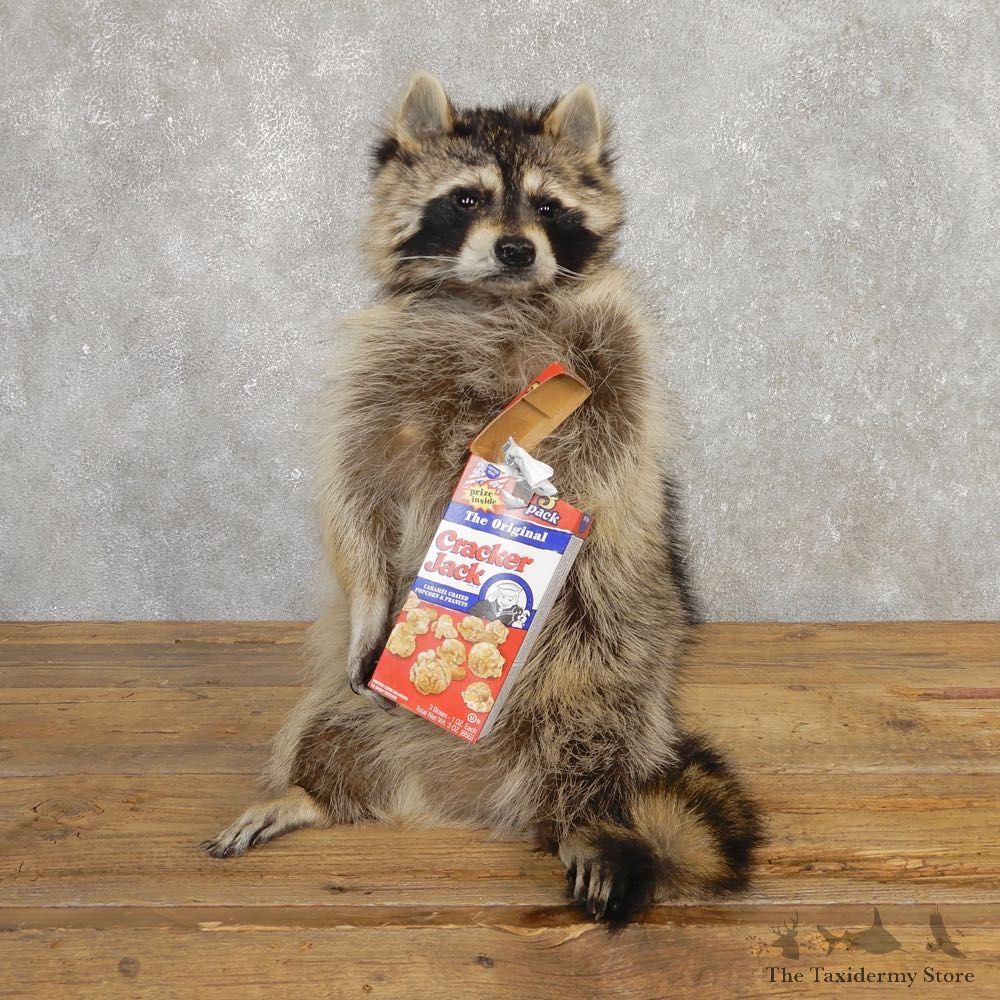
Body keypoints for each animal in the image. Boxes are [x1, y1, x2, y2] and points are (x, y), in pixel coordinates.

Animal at [202, 73, 761, 930]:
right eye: (465, 199)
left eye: (549, 207)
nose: (516, 249)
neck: (492, 297)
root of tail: (479, 794)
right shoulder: (378, 372)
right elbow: (356, 492)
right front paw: (369, 597)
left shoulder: (613, 347)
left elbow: (617, 451)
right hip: (360, 703)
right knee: (329, 719)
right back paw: (312, 792)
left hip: (611, 661)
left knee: (593, 738)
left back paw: (586, 822)